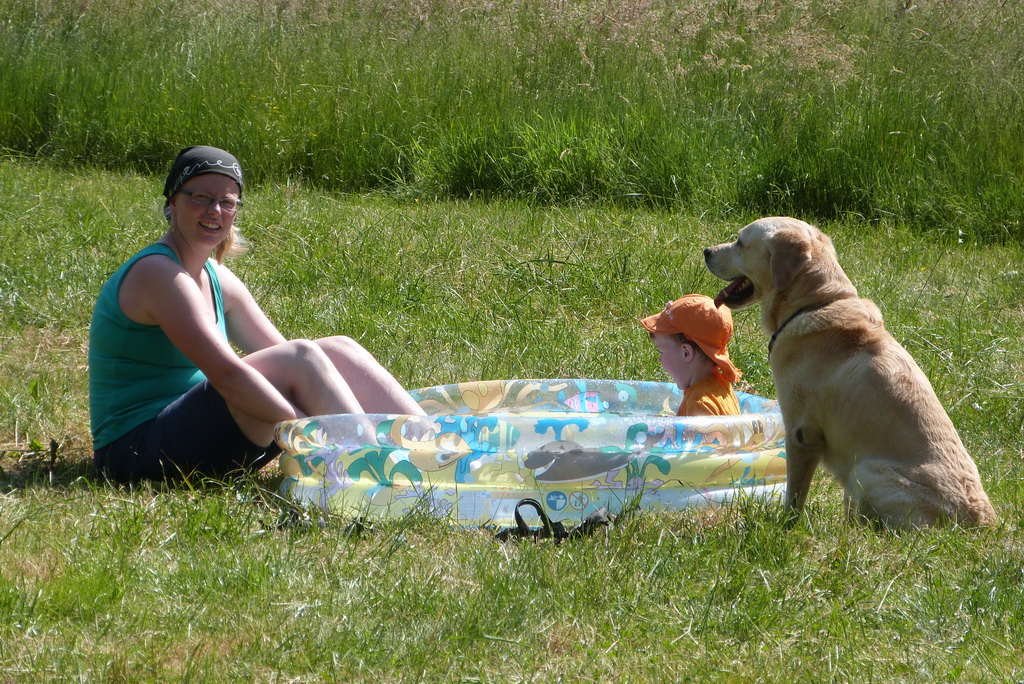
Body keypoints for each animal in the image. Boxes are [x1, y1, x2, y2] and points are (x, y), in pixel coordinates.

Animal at [704, 217, 995, 529]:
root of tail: (980, 523)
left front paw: (786, 526)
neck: (816, 302)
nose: (706, 251)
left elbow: (795, 495)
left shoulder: (800, 432)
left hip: (866, 470)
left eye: (740, 242)